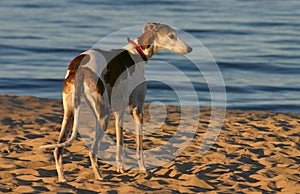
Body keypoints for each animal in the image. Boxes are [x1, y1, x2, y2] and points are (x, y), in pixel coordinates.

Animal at [40, 22, 192, 182]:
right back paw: (99, 177)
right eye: (172, 35)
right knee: (92, 152)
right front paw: (143, 169)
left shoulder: (119, 110)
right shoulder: (137, 110)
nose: (190, 49)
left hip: (70, 114)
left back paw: (63, 179)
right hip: (103, 115)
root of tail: (79, 66)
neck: (137, 52)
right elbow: (139, 146)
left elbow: (120, 141)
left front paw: (120, 168)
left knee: (58, 149)